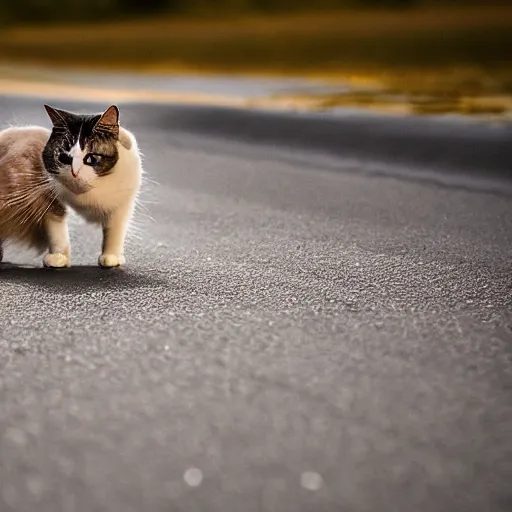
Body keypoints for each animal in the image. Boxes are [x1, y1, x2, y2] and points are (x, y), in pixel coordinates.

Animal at [0, 106, 142, 270]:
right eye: (63, 158)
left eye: (91, 158)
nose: (74, 173)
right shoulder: (48, 198)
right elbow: (58, 233)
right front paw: (58, 258)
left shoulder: (121, 206)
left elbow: (113, 233)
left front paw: (111, 257)